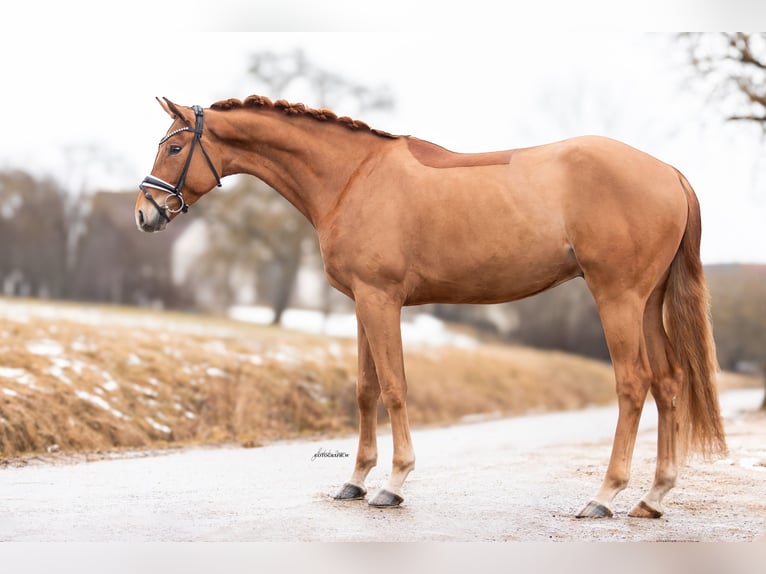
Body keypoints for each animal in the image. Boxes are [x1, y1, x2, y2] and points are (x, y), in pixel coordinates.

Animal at [135, 95, 726, 518]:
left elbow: (395, 387)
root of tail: (669, 172)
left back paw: (604, 497)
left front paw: (393, 485)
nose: (145, 213)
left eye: (173, 148)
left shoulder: (382, 300)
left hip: (617, 297)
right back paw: (653, 498)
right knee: (670, 382)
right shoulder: (361, 303)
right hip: (647, 302)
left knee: (634, 383)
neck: (352, 177)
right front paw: (354, 481)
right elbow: (366, 389)